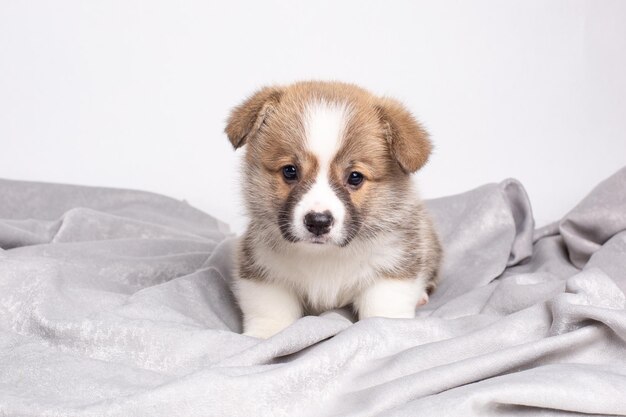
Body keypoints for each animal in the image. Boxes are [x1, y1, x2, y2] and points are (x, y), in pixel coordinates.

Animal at [224, 80, 438, 338]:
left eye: (355, 177)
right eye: (290, 171)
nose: (318, 222)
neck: (325, 256)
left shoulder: (392, 267)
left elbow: (383, 311)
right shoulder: (262, 270)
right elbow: (270, 312)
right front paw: (264, 335)